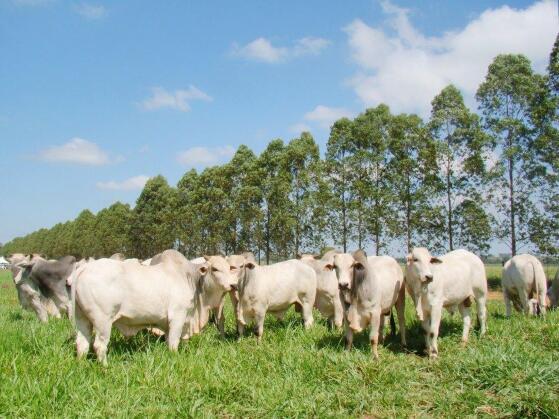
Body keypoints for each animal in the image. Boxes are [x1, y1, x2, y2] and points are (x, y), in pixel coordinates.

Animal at [72, 251, 236, 366]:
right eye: (214, 269)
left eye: (230, 268)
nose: (233, 284)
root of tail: (84, 268)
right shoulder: (177, 317)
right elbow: (174, 344)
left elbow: (170, 341)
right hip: (103, 321)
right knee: (99, 345)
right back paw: (106, 368)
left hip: (82, 319)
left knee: (82, 344)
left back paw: (81, 365)